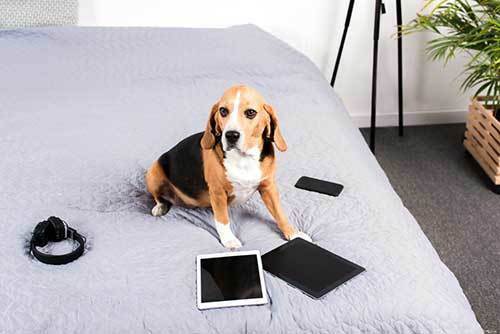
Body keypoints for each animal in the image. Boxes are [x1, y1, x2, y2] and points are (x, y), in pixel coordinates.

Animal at [144, 85, 308, 248]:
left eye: (251, 113)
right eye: (223, 111)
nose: (231, 135)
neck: (244, 158)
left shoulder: (268, 187)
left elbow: (279, 213)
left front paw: (293, 233)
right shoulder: (218, 192)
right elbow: (222, 220)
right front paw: (229, 240)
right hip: (153, 173)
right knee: (159, 197)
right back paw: (159, 207)